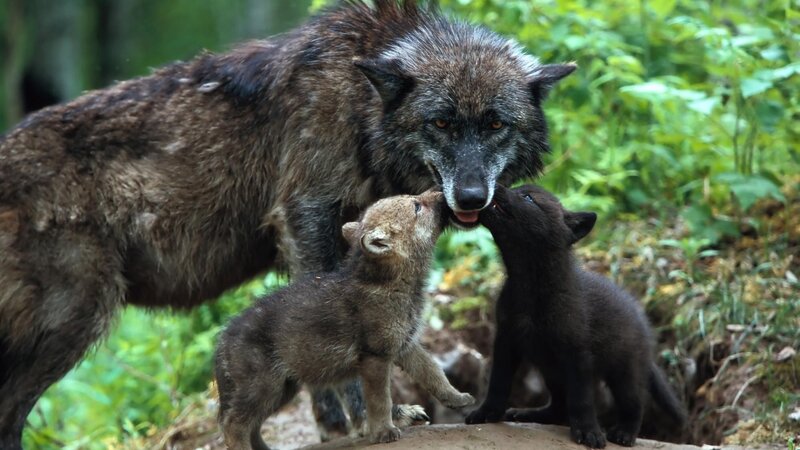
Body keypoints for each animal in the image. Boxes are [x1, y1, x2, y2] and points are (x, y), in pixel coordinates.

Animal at [215, 190, 474, 449]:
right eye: (417, 206)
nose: (441, 193)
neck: (391, 285)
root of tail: (223, 338)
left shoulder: (406, 346)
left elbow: (434, 374)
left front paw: (459, 398)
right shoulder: (374, 357)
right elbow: (380, 400)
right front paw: (384, 432)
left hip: (283, 388)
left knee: (252, 425)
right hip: (263, 386)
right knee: (234, 424)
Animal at [465, 185, 687, 448]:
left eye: (528, 197)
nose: (494, 186)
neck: (530, 286)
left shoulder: (577, 353)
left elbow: (582, 399)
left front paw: (589, 431)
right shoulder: (506, 340)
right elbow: (498, 383)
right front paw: (487, 413)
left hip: (625, 371)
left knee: (634, 403)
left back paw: (624, 433)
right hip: (552, 370)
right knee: (559, 406)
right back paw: (529, 414)